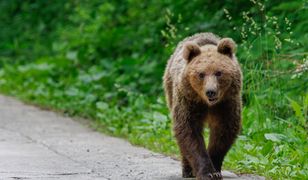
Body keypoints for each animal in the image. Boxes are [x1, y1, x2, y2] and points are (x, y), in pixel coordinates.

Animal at [164, 32, 243, 180]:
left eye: (219, 72)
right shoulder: (189, 102)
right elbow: (188, 132)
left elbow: (223, 132)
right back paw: (187, 170)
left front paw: (215, 170)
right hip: (171, 90)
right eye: (201, 74)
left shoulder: (226, 104)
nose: (210, 91)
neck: (208, 104)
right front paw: (206, 172)